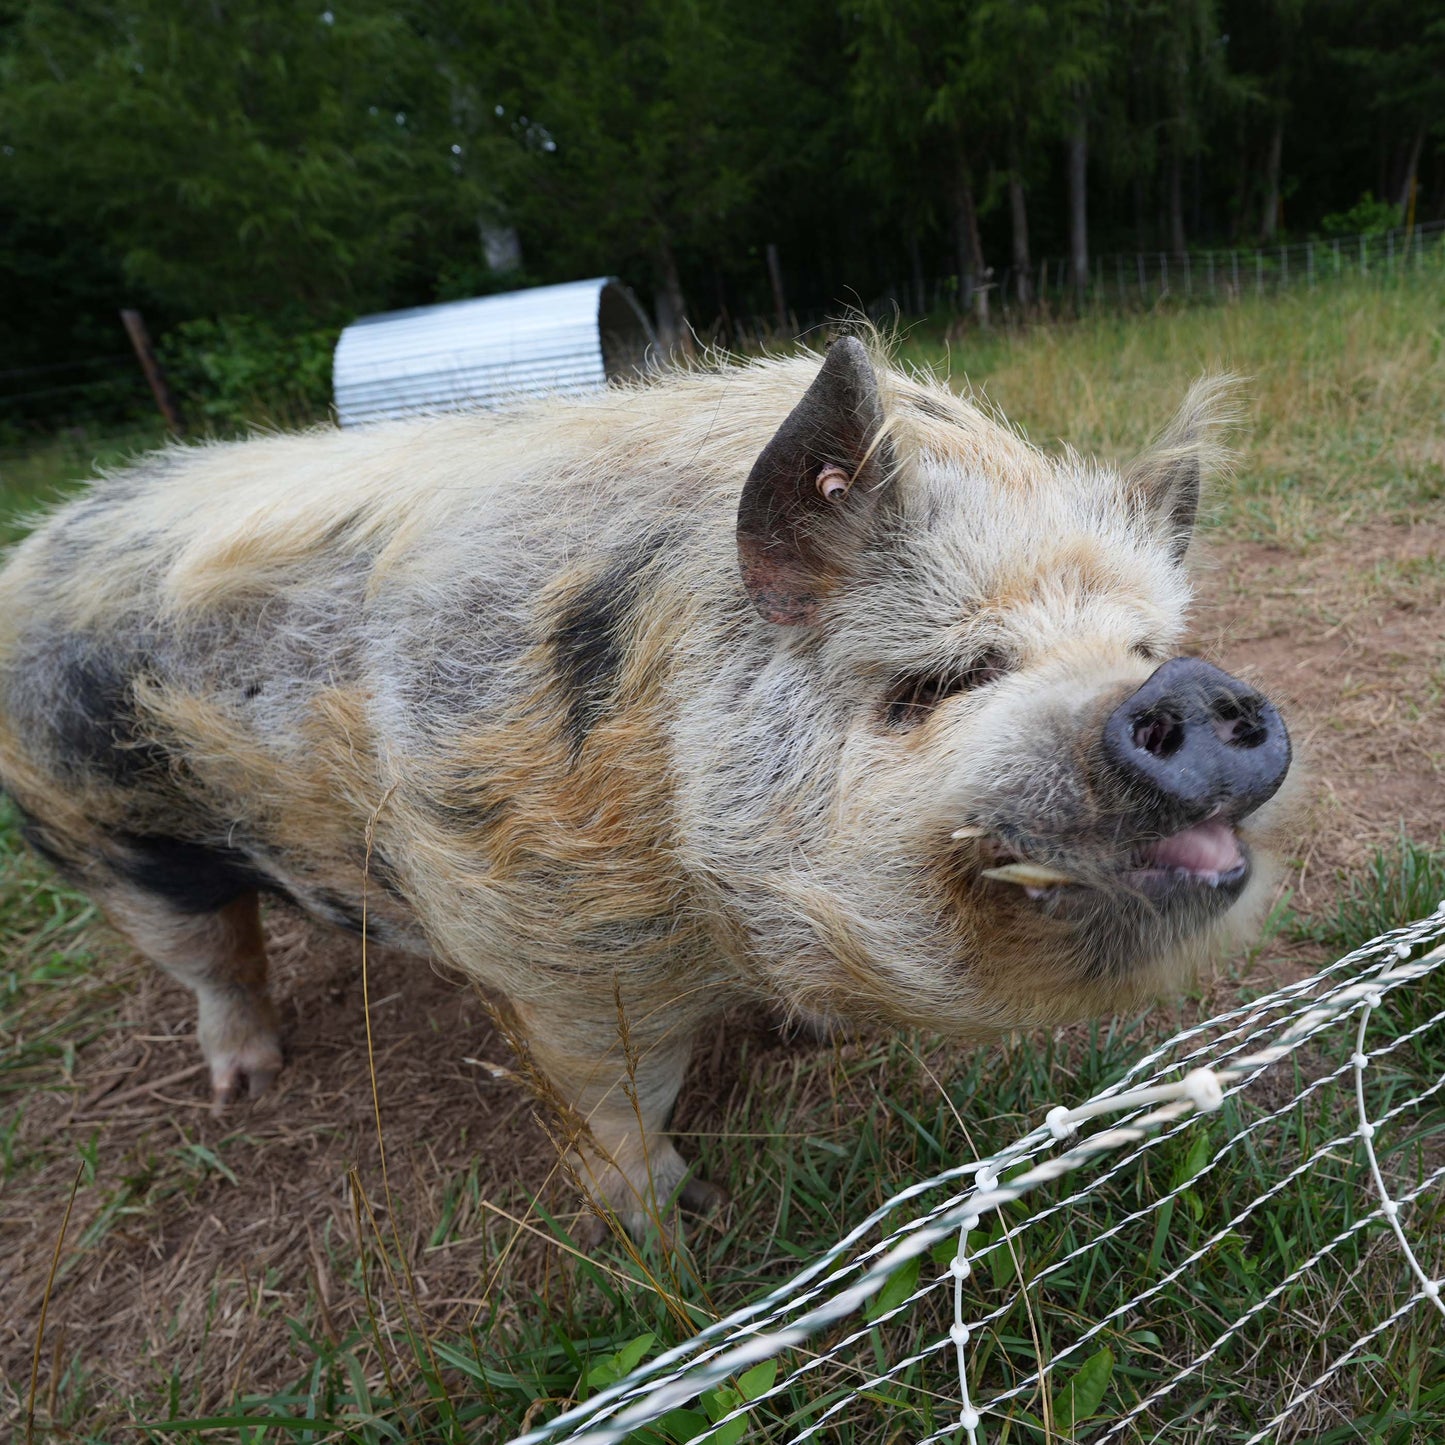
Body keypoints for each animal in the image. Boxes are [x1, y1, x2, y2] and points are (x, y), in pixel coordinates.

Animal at [0, 337, 1292, 1236]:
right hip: (105, 832)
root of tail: (41, 534)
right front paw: (677, 1230)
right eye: (941, 677)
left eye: (1140, 644)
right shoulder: (555, 948)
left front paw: (805, 1040)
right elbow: (615, 1104)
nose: (1186, 686)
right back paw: (246, 1085)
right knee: (209, 954)